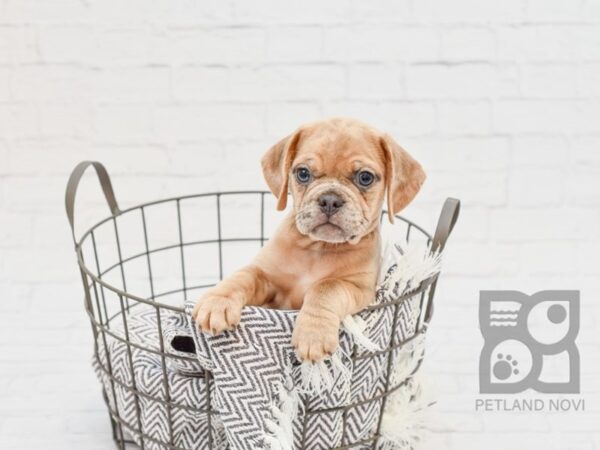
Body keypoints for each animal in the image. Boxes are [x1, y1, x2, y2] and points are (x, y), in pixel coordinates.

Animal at [193, 117, 426, 362]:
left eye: (365, 177)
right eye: (303, 173)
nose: (330, 200)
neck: (318, 248)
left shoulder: (359, 288)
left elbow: (326, 287)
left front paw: (314, 333)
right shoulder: (265, 277)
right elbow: (243, 276)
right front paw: (218, 301)